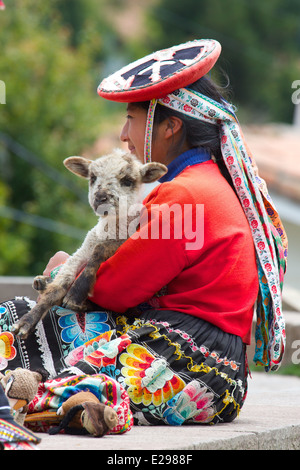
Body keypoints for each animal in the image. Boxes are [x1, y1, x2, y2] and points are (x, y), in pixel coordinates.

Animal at [12, 148, 166, 338]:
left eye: (127, 181)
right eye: (92, 178)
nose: (100, 197)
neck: (111, 229)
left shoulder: (125, 241)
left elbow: (100, 249)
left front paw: (76, 294)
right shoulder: (83, 250)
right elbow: (59, 285)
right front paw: (26, 322)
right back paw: (42, 282)